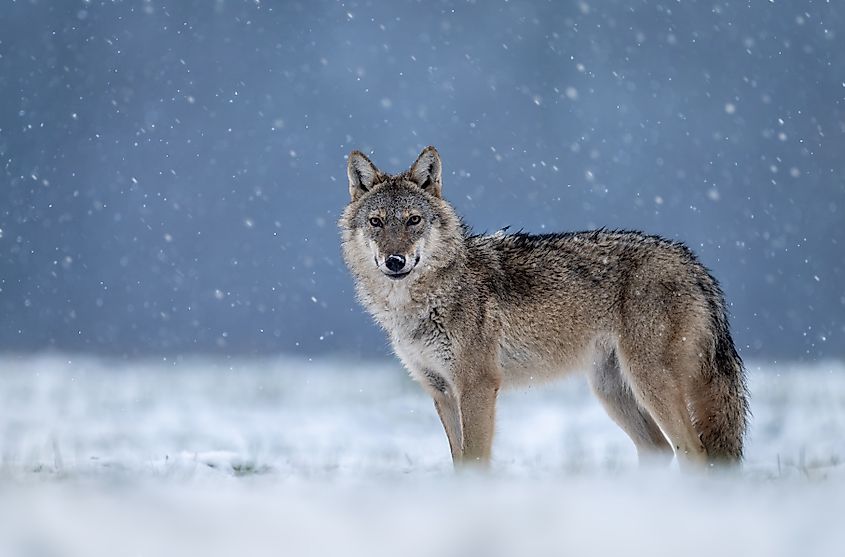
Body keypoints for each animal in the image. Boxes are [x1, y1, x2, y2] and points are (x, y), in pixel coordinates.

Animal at [340, 146, 749, 469]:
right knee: (660, 451)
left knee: (694, 452)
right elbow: (458, 462)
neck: (425, 298)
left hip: (649, 383)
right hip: (612, 392)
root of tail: (693, 263)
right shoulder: (440, 391)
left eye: (414, 220)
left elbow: (474, 461)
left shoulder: (477, 387)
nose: (395, 261)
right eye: (376, 222)